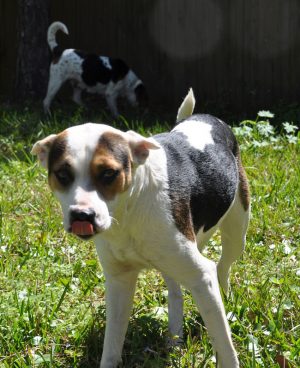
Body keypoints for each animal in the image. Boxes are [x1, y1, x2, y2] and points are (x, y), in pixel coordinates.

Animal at [31, 90, 250, 368]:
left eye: (108, 173)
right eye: (62, 174)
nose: (82, 215)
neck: (128, 211)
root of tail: (204, 117)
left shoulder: (202, 276)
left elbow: (224, 344)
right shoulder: (119, 282)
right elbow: (112, 346)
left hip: (236, 232)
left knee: (222, 266)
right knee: (175, 289)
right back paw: (175, 337)